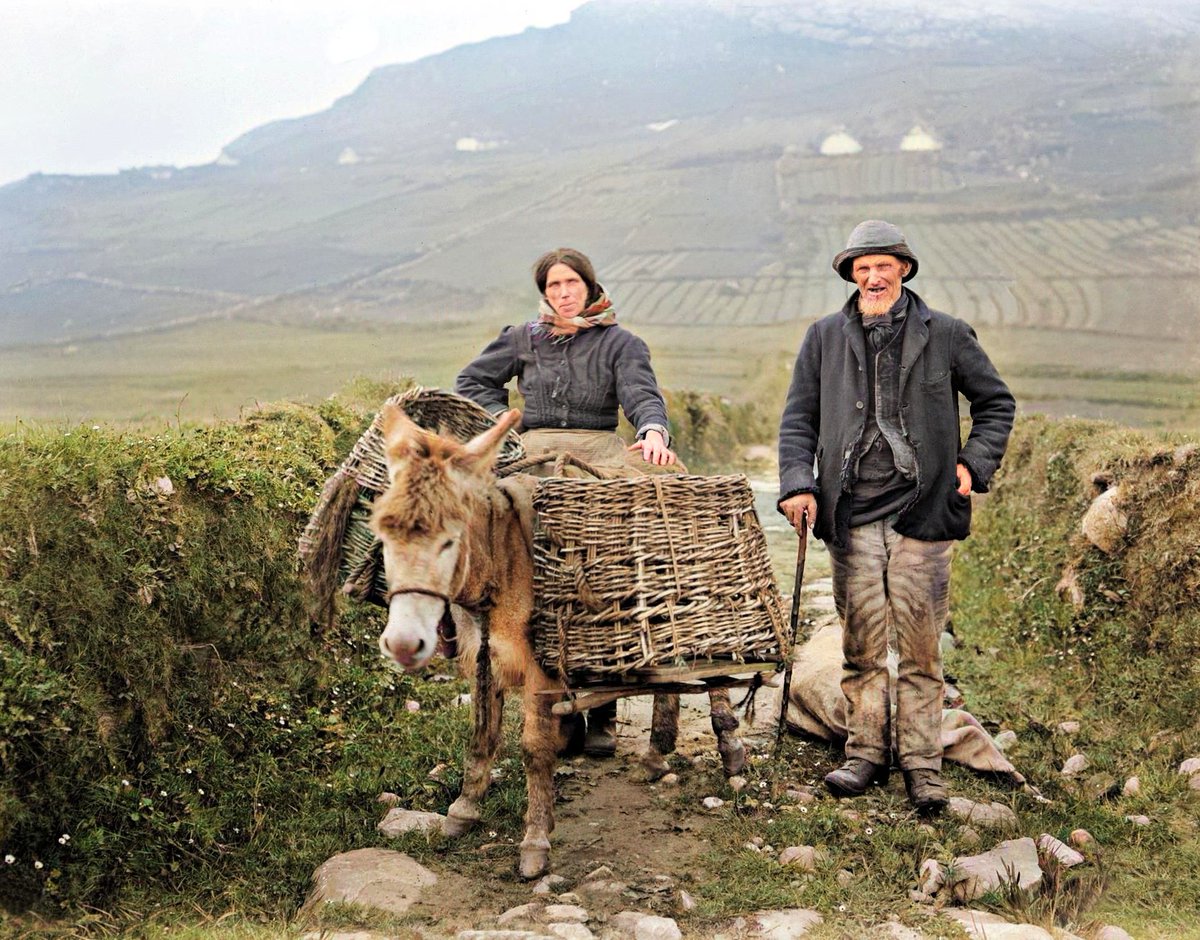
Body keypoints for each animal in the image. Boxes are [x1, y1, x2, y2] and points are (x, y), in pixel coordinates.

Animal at [367, 403, 746, 878]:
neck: (502, 560)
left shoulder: (539, 670)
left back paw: (731, 750)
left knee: (714, 674)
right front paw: (463, 811)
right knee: (668, 679)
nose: (403, 643)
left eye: (450, 539)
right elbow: (482, 738)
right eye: (384, 536)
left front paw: (535, 841)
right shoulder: (483, 656)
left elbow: (535, 749)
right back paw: (656, 754)